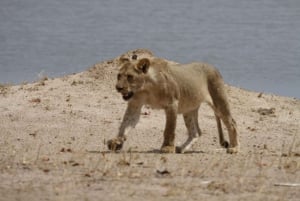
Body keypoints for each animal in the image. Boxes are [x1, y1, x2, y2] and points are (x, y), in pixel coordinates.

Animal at [108, 55, 239, 153]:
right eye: (119, 75)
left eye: (130, 76)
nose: (118, 88)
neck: (145, 88)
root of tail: (213, 66)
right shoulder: (135, 104)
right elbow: (125, 123)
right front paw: (117, 141)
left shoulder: (172, 104)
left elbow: (169, 128)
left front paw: (167, 147)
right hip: (189, 109)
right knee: (196, 132)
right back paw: (181, 148)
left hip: (218, 100)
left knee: (232, 123)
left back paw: (234, 148)